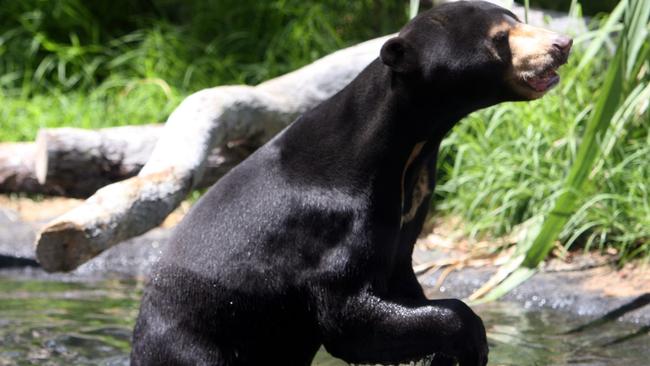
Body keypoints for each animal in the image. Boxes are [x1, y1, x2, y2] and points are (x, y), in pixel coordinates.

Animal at [130, 1, 568, 364]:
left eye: (517, 18)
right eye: (500, 38)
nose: (563, 43)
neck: (408, 151)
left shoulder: (404, 218)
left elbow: (396, 285)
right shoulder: (329, 226)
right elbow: (349, 318)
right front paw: (471, 340)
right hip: (199, 345)